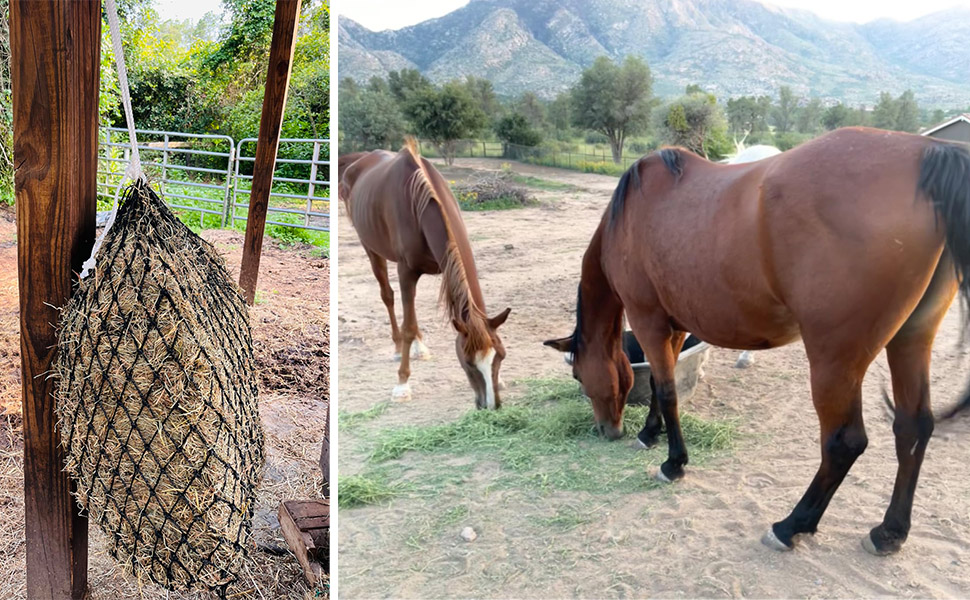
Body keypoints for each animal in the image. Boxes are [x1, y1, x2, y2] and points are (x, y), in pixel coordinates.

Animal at [341, 138, 511, 408]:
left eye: (501, 356)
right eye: (468, 362)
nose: (491, 405)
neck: (420, 203)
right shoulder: (406, 271)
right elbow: (408, 326)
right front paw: (402, 384)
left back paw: (419, 347)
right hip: (371, 249)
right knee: (388, 296)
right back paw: (398, 348)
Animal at [544, 127, 970, 556]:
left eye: (578, 377)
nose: (606, 430)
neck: (630, 216)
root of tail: (928, 152)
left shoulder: (647, 320)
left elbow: (665, 391)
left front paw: (673, 462)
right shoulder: (674, 325)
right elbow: (660, 388)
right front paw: (651, 433)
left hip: (835, 359)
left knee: (844, 442)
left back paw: (791, 525)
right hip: (910, 341)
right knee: (913, 428)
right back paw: (889, 532)